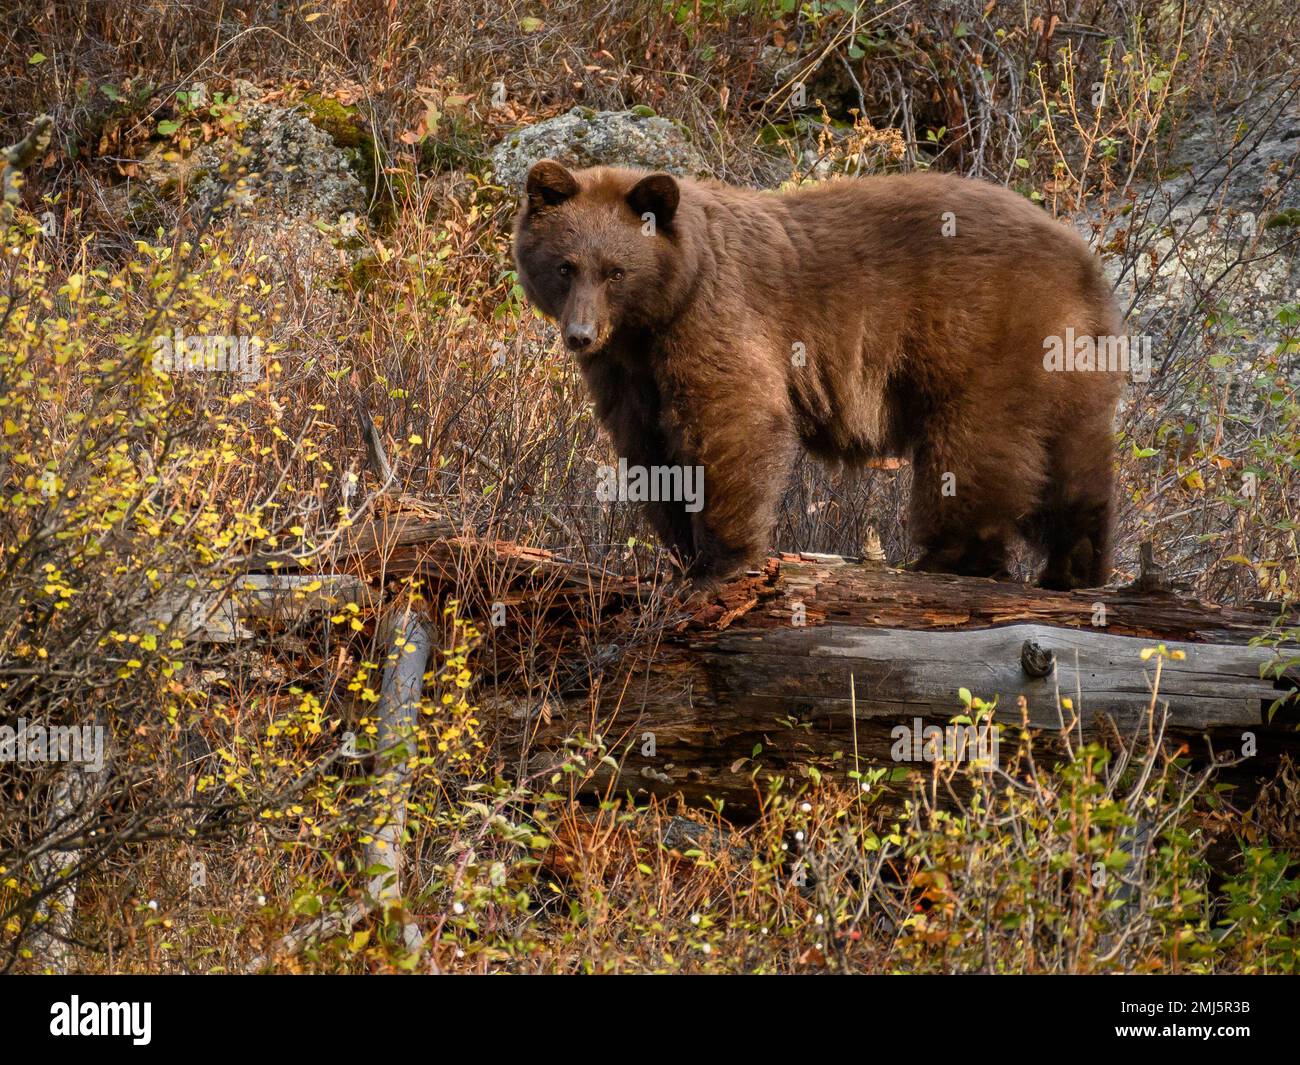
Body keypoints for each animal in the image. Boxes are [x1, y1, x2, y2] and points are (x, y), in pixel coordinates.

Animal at [512, 159, 1123, 590]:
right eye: (564, 267)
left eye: (616, 271)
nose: (580, 334)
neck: (660, 311)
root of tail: (1081, 257)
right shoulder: (627, 369)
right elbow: (648, 442)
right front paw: (682, 551)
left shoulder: (716, 315)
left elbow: (733, 418)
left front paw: (719, 562)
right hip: (1068, 357)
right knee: (1075, 456)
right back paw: (1075, 567)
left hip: (982, 335)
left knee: (975, 444)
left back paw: (949, 557)